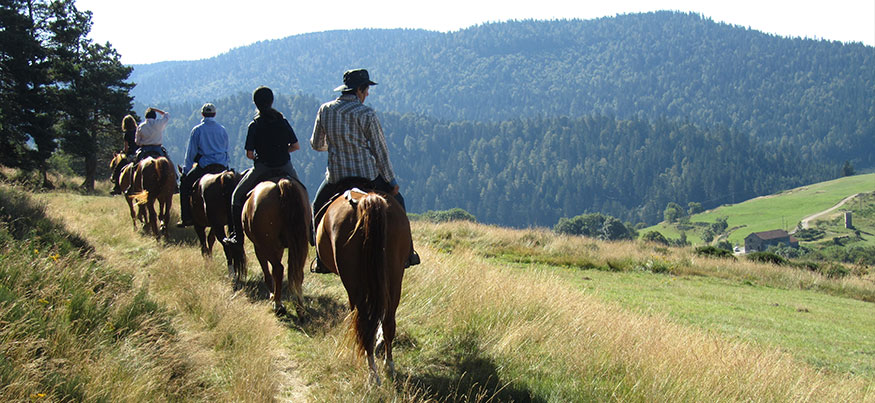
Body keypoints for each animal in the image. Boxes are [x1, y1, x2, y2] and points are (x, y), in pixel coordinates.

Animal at [314, 189, 410, 386]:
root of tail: (367, 200)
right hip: (395, 276)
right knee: (388, 321)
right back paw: (388, 366)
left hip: (353, 284)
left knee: (362, 321)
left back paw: (372, 372)